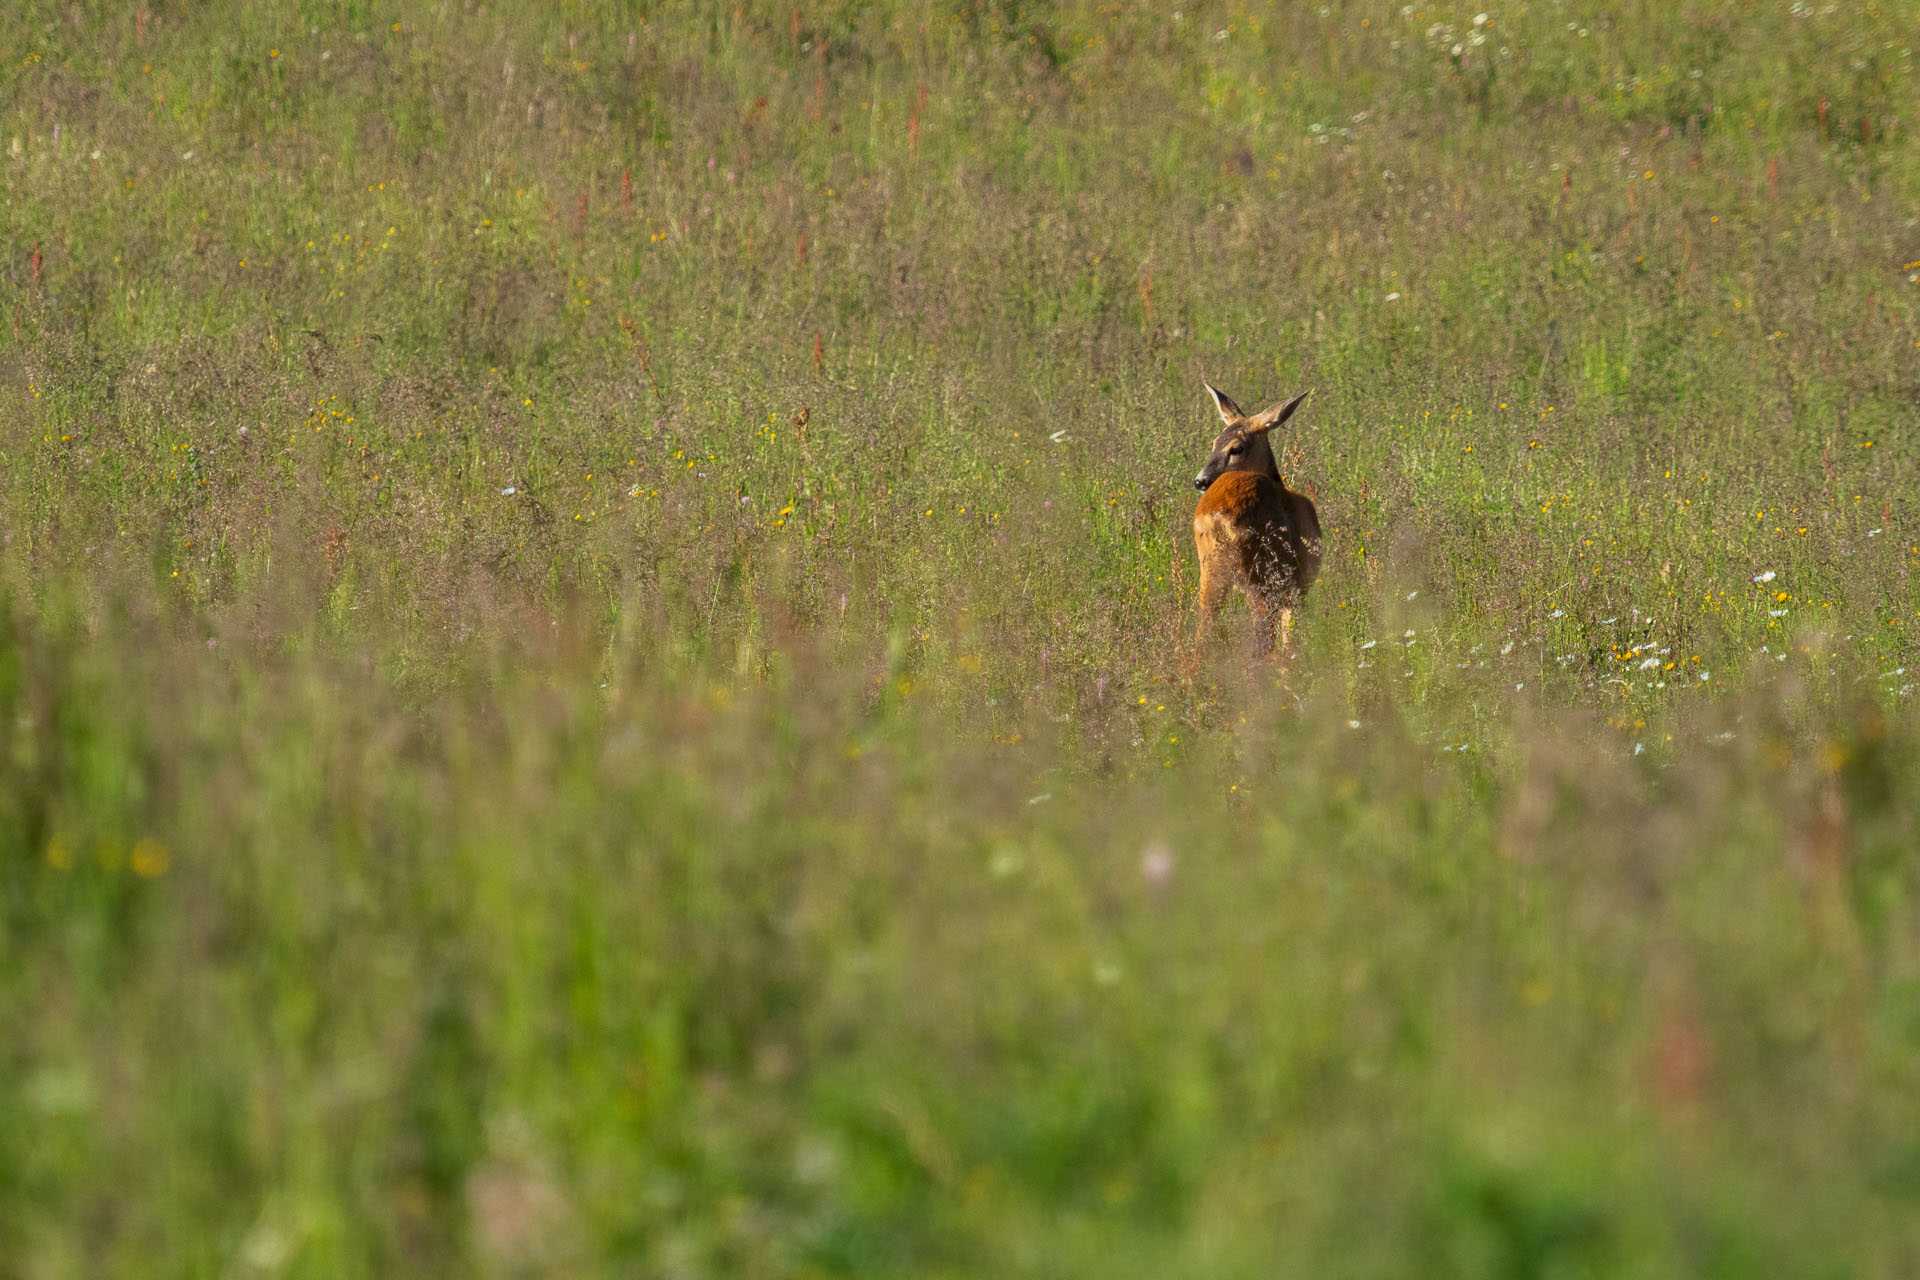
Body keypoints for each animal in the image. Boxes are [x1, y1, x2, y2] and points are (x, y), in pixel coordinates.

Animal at [1182, 383, 1320, 656]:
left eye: (1235, 448)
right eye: (1214, 443)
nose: (1200, 481)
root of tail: (1218, 517)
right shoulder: (1298, 585)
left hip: (1209, 571)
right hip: (1262, 573)